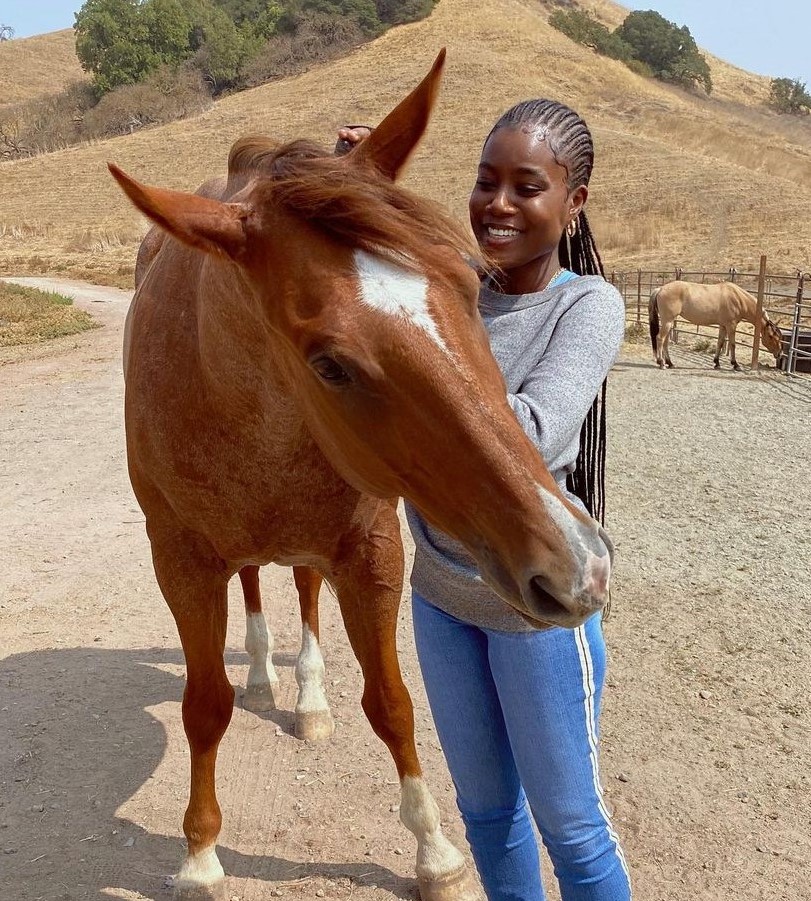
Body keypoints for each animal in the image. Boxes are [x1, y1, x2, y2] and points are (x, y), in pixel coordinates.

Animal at [109, 51, 616, 900]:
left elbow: (394, 703)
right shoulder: (178, 560)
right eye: (329, 363)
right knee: (255, 590)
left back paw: (307, 694)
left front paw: (434, 851)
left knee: (304, 591)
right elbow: (203, 705)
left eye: (473, 282)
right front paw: (200, 854)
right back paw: (263, 675)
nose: (578, 565)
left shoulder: (371, 549)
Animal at [648, 278, 788, 370]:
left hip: (669, 322)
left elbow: (720, 342)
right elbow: (732, 344)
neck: (738, 298)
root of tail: (660, 289)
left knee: (665, 341)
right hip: (668, 321)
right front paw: (735, 364)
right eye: (771, 336)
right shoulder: (731, 325)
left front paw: (717, 363)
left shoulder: (723, 325)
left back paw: (670, 363)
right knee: (660, 338)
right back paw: (661, 363)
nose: (780, 354)